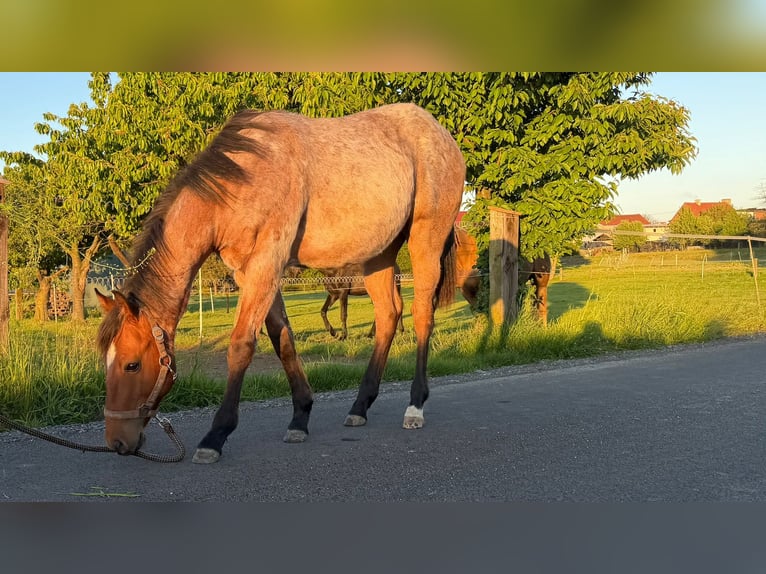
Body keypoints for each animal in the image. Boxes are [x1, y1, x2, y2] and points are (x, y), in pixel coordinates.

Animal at [95, 103, 465, 463]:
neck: (244, 180)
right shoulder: (252, 272)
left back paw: (414, 406)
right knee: (388, 316)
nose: (117, 442)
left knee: (421, 315)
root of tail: (442, 135)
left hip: (425, 241)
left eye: (132, 364)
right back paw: (360, 406)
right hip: (379, 254)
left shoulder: (266, 266)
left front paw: (216, 435)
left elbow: (241, 345)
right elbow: (282, 338)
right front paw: (300, 418)